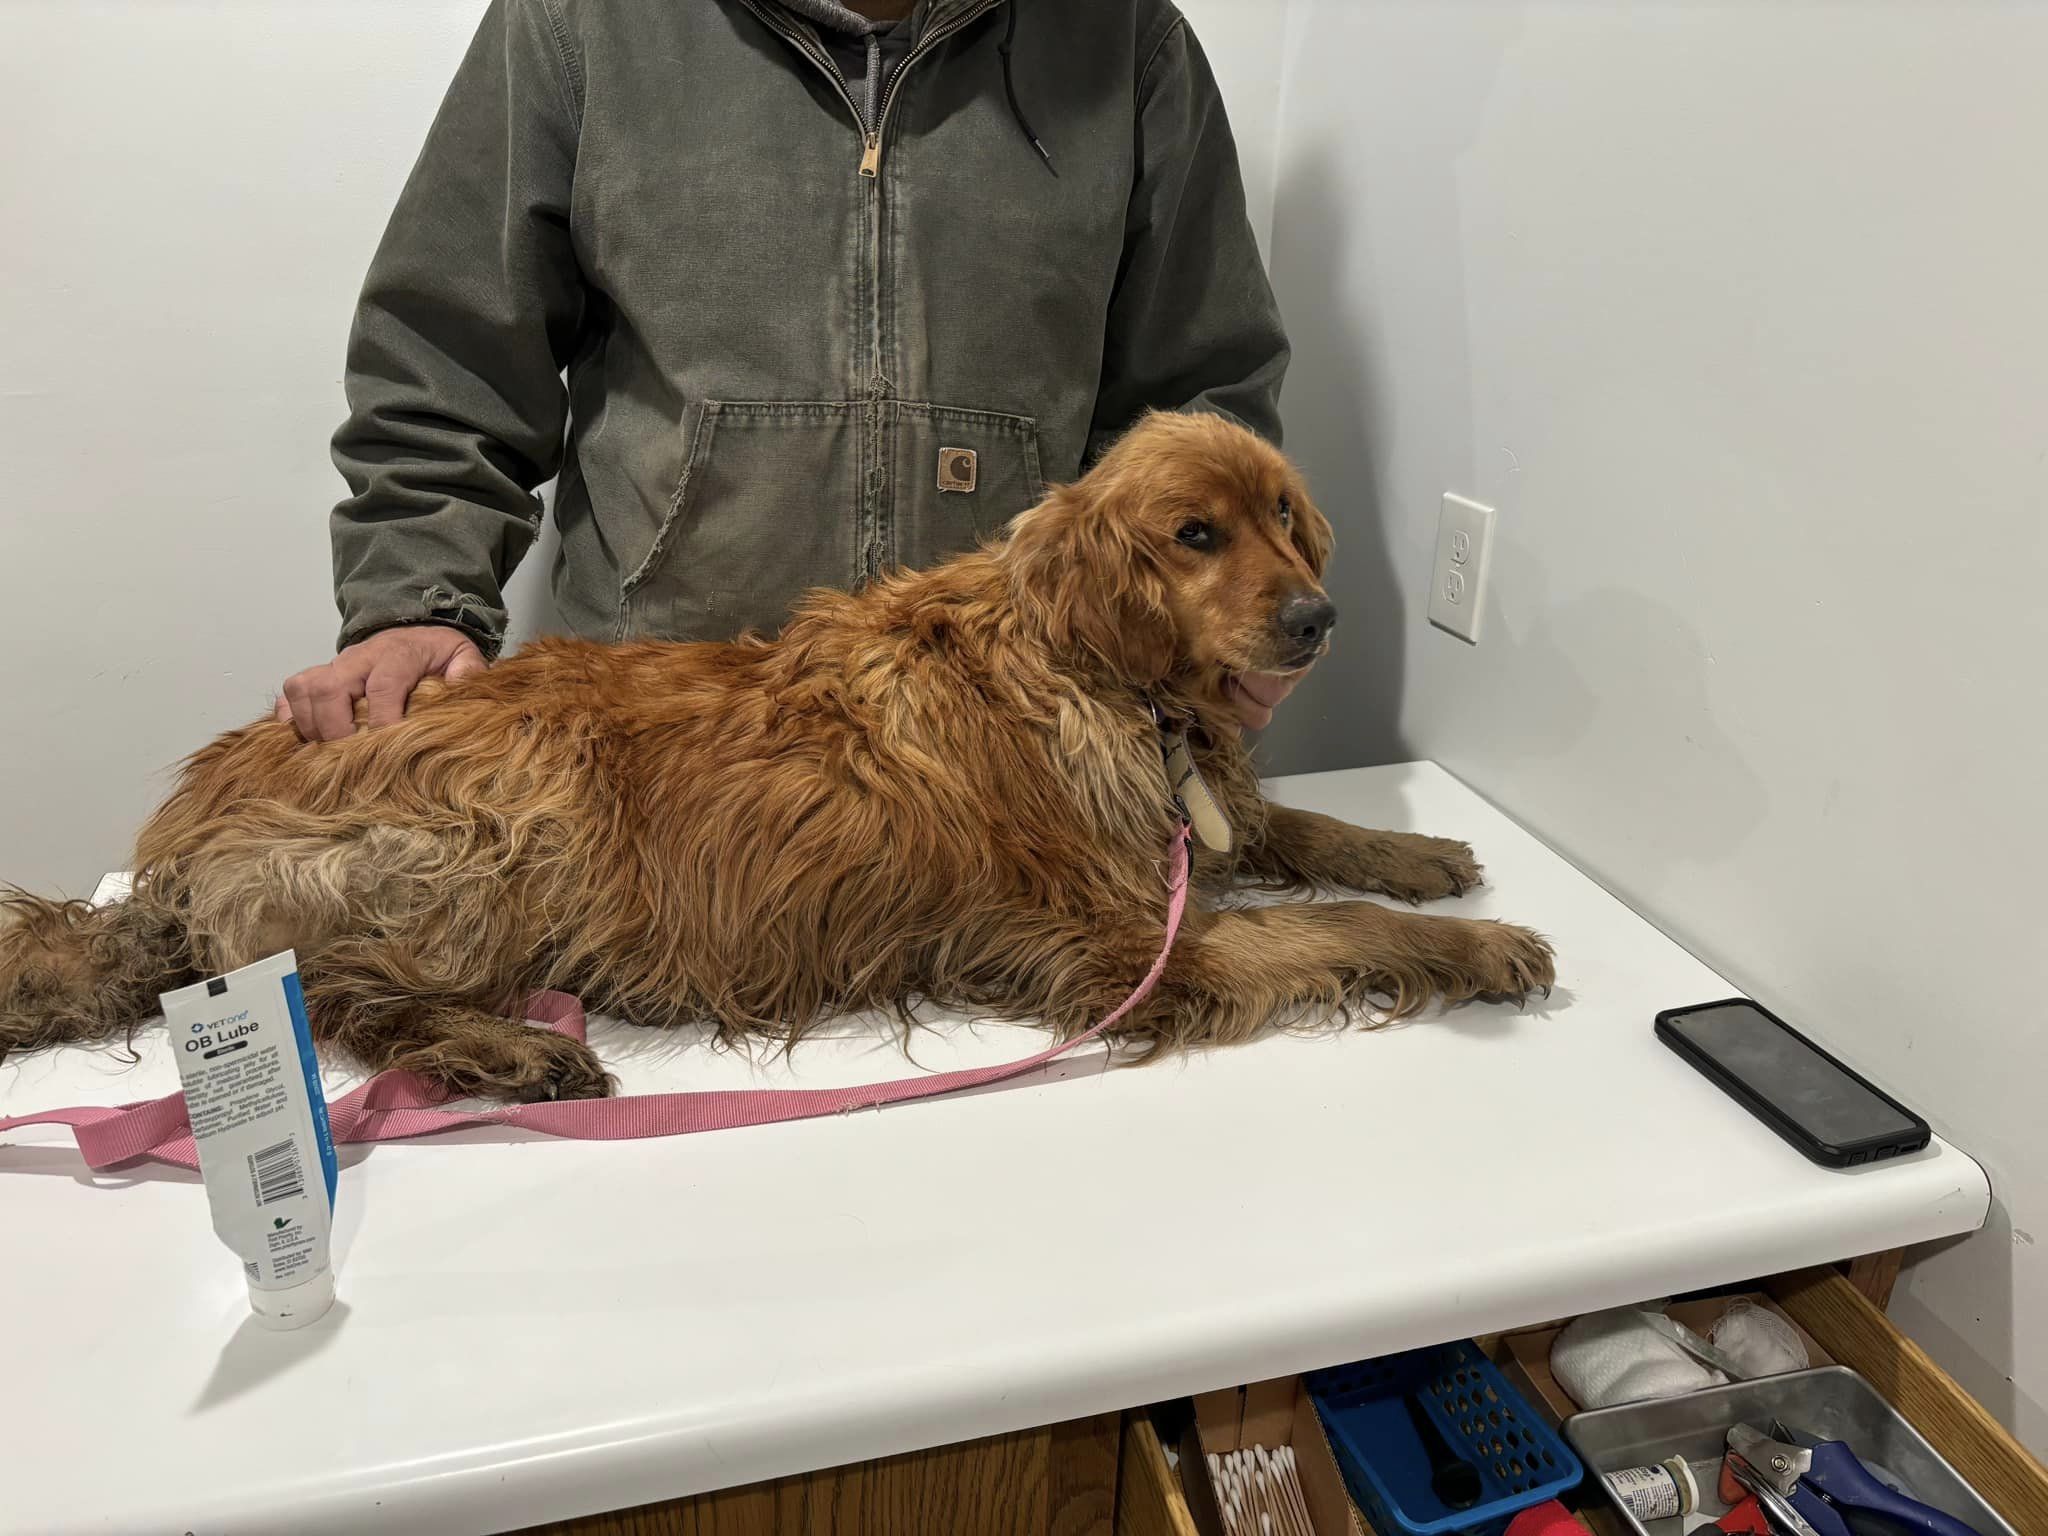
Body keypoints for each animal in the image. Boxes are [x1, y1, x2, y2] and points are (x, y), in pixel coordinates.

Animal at [0, 415, 1548, 1097]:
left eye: (1287, 517)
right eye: (1193, 535)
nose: (1318, 616)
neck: (1092, 675)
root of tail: (178, 841)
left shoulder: (1188, 833)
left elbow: (1296, 835)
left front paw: (1421, 851)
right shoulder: (1129, 946)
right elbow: (1333, 928)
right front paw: (1482, 945)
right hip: (509, 816)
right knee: (333, 996)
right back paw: (505, 1048)